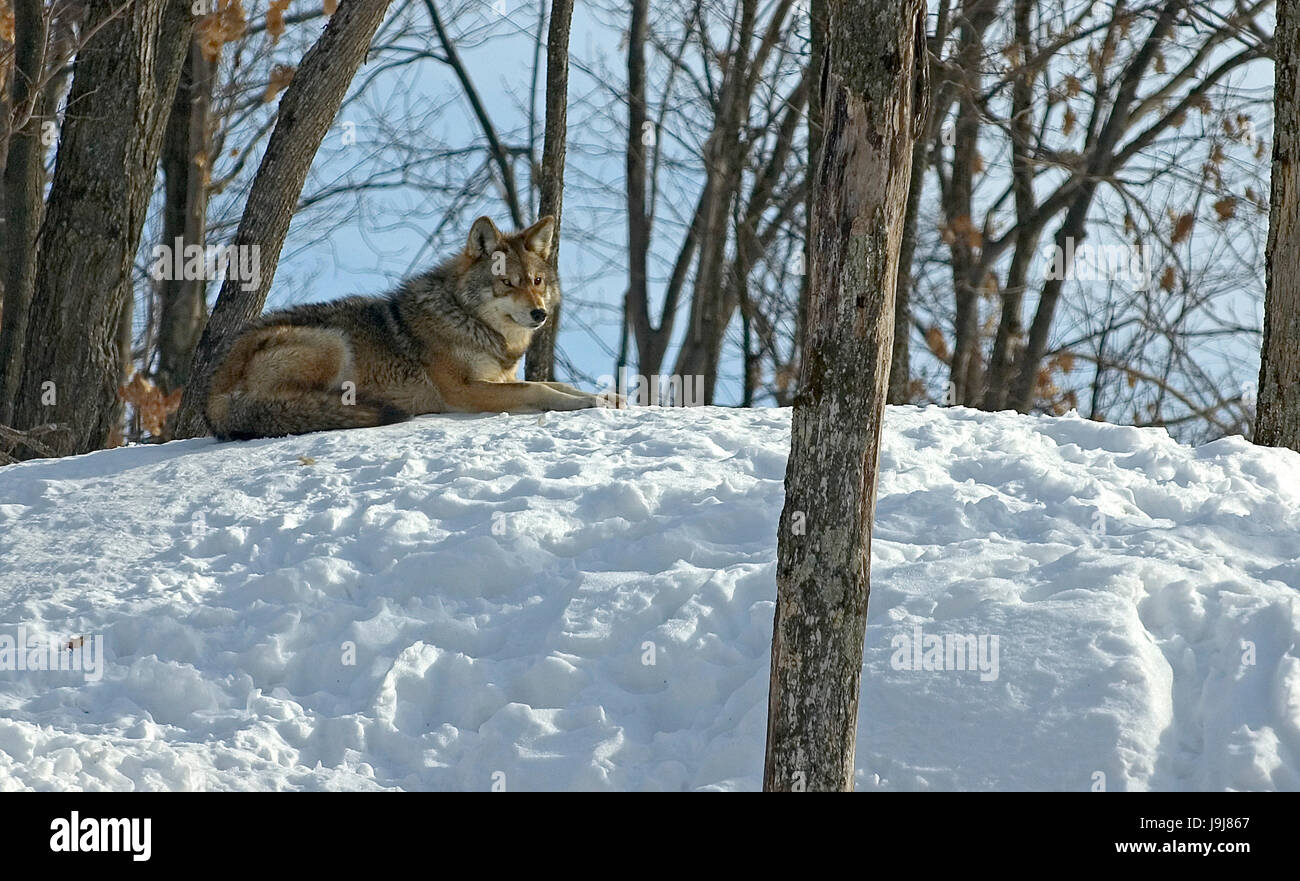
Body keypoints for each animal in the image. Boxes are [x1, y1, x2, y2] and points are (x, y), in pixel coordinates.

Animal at [205, 215, 621, 440]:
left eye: (536, 281)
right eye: (507, 283)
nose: (540, 315)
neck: (467, 319)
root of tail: (213, 393)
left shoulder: (499, 378)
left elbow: (556, 384)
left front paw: (607, 397)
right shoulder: (467, 391)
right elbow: (538, 389)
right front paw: (590, 402)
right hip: (333, 341)